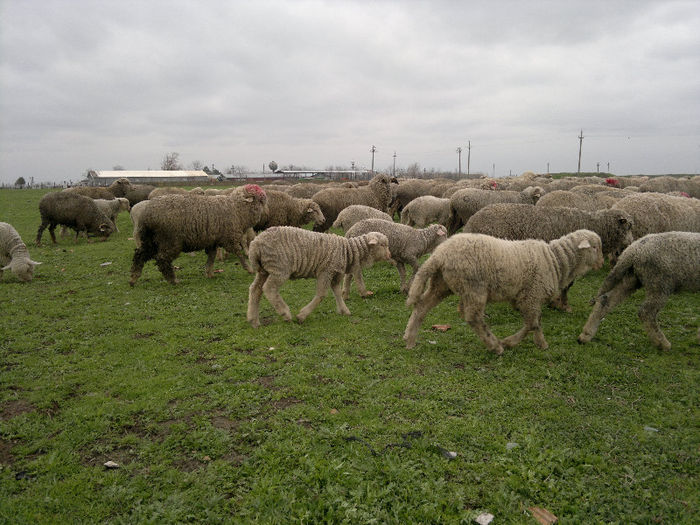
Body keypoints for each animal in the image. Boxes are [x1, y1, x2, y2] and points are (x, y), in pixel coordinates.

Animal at [129, 183, 268, 284]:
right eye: (256, 190)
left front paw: (209, 273)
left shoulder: (213, 241)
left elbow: (211, 257)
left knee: (139, 254)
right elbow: (239, 253)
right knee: (162, 259)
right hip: (169, 240)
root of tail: (147, 215)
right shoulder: (230, 238)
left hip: (150, 239)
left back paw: (133, 278)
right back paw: (173, 280)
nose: (266, 196)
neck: (237, 208)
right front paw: (249, 269)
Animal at [246, 226, 392, 328]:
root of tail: (254, 245)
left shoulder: (335, 274)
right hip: (279, 268)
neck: (347, 251)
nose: (389, 255)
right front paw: (302, 315)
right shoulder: (325, 271)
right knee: (269, 289)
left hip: (265, 270)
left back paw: (254, 320)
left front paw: (344, 310)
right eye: (383, 245)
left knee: (255, 289)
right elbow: (321, 295)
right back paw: (285, 313)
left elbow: (337, 292)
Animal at [402, 228, 604, 354]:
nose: (602, 263)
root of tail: (439, 254)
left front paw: (533, 342)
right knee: (473, 318)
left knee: (421, 307)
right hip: (474, 287)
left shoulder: (524, 298)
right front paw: (528, 343)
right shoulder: (531, 296)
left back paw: (410, 339)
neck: (556, 260)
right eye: (595, 247)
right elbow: (533, 324)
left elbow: (533, 323)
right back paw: (494, 346)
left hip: (442, 284)